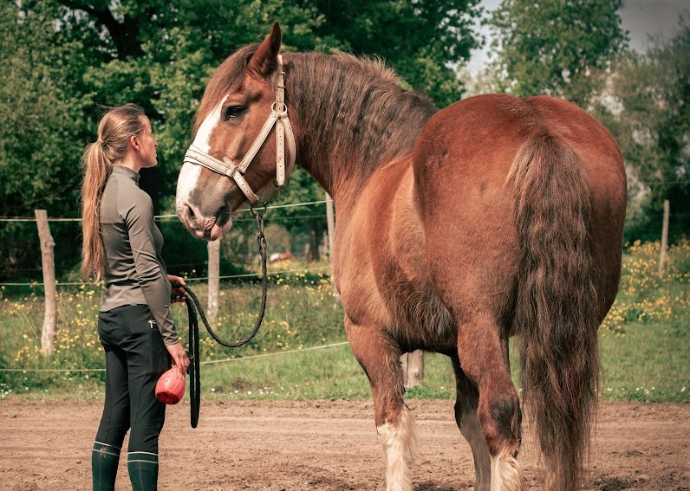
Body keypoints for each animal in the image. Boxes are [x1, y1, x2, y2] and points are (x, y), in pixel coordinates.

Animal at [175, 23, 627, 491]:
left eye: (234, 110)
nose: (188, 205)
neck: (374, 164)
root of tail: (535, 129)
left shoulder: (370, 335)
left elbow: (392, 424)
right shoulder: (455, 348)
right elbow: (468, 424)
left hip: (482, 327)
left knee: (502, 416)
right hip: (568, 331)